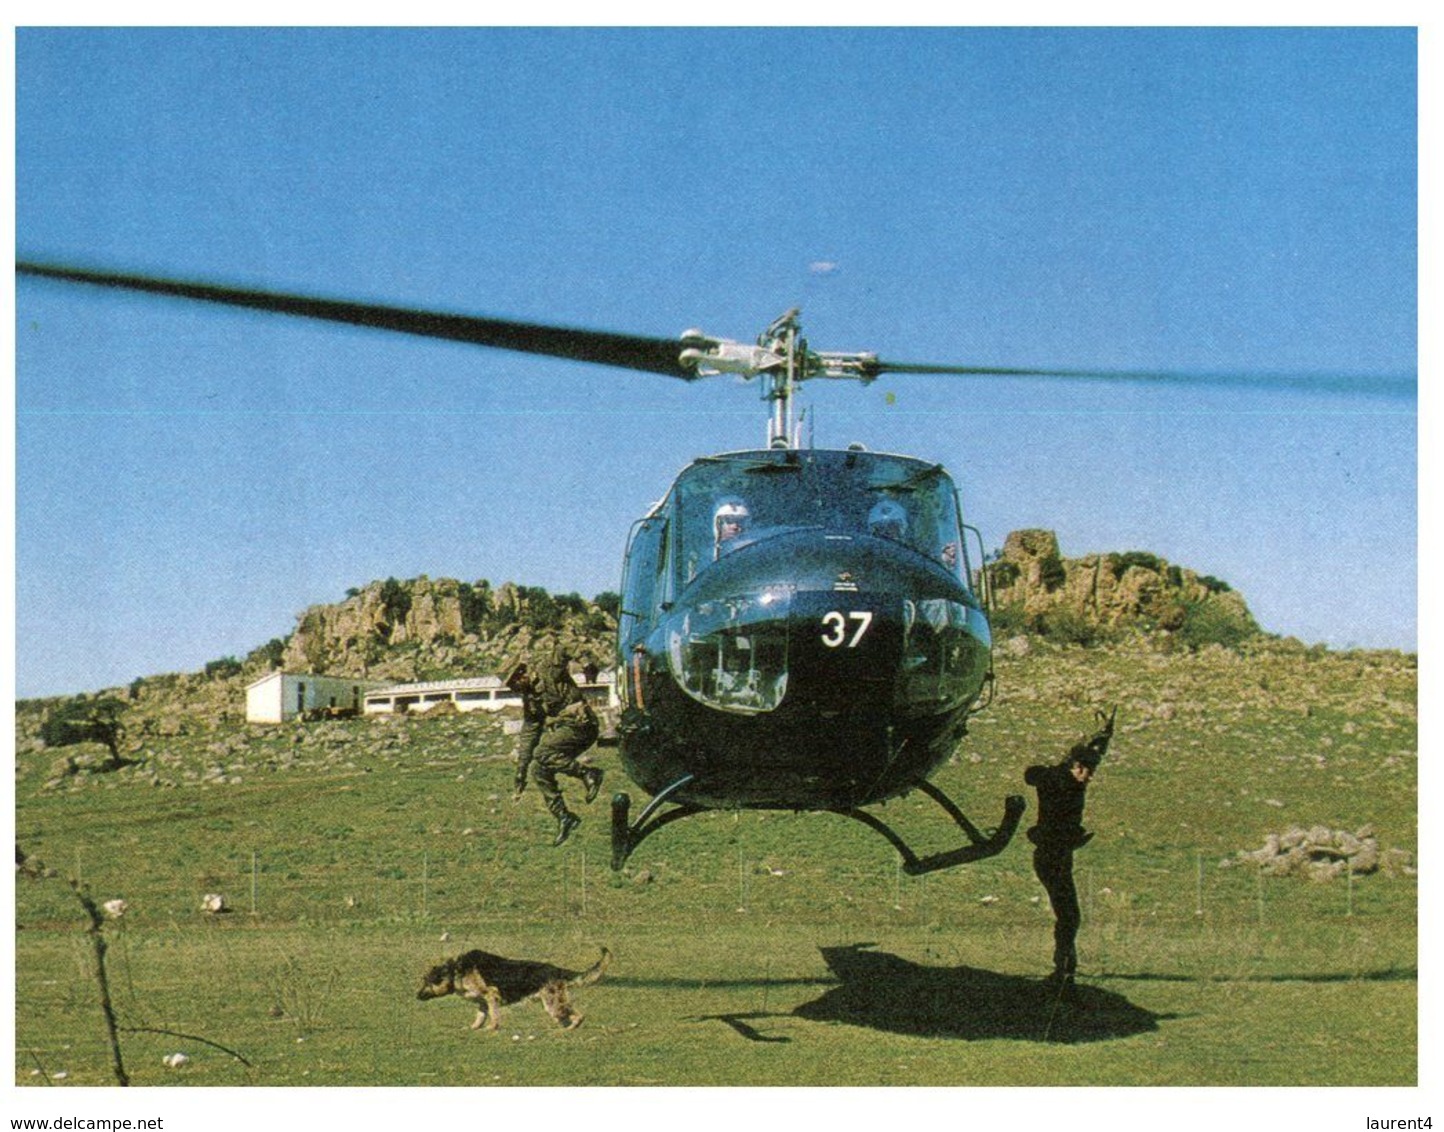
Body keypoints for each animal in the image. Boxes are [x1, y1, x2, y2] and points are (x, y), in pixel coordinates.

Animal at [412, 941, 609, 1028]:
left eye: (428, 982)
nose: (417, 996)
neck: (456, 971)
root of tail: (556, 970)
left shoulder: (491, 995)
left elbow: (493, 1015)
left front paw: (492, 1029)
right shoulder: (482, 1002)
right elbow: (480, 1016)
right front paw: (475, 1028)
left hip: (552, 1004)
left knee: (577, 1016)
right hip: (555, 1003)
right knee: (576, 1015)